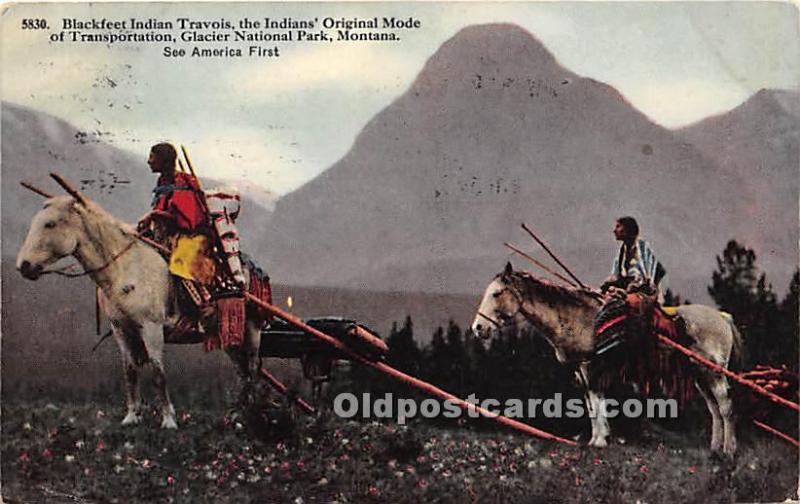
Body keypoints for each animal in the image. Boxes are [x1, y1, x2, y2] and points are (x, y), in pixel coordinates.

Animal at [16, 177, 266, 430]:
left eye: (50, 224)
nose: (23, 266)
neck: (124, 270)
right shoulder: (121, 329)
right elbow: (130, 370)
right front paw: (132, 416)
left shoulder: (151, 327)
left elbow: (158, 372)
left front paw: (168, 420)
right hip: (228, 333)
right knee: (242, 371)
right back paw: (236, 415)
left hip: (252, 328)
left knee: (252, 369)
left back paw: (250, 414)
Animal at [472, 264, 740, 456]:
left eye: (497, 293)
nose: (478, 328)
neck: (577, 317)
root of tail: (722, 317)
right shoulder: (580, 370)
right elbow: (590, 405)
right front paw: (595, 439)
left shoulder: (592, 367)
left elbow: (597, 401)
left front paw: (601, 440)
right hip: (699, 375)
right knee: (714, 408)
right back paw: (715, 448)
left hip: (714, 372)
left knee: (725, 406)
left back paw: (729, 450)